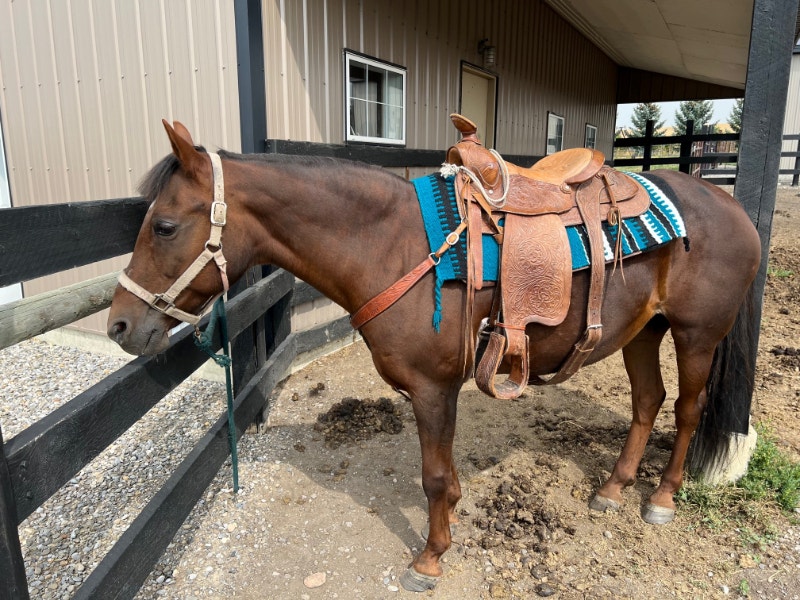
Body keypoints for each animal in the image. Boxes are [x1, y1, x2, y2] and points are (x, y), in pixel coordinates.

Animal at [107, 120, 761, 591]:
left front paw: (429, 558)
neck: (392, 243)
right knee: (648, 401)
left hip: (696, 336)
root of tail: (733, 208)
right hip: (645, 332)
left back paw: (660, 498)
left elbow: (435, 477)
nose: (119, 325)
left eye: (164, 226)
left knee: (686, 410)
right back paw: (613, 488)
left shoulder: (433, 388)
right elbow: (442, 477)